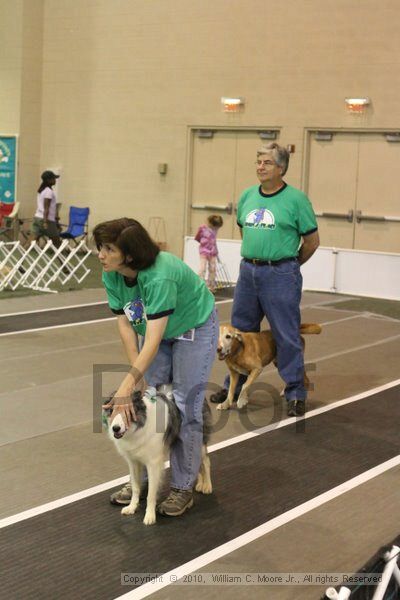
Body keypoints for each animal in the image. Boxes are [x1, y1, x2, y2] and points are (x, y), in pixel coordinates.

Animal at [104, 386, 214, 524]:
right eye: (112, 411)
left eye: (127, 412)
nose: (115, 428)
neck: (139, 427)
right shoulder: (133, 462)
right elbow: (135, 487)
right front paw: (132, 507)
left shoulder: (153, 464)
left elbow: (151, 494)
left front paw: (150, 516)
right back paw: (200, 483)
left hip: (199, 442)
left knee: (205, 462)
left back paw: (207, 485)